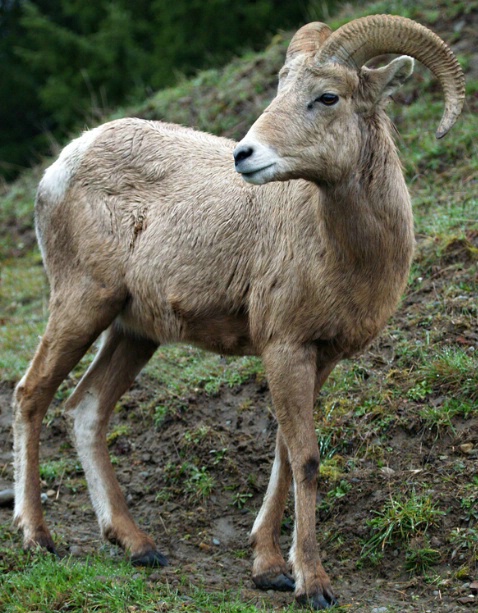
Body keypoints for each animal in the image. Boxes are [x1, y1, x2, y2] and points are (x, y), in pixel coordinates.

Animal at [14, 13, 464, 608]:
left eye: (327, 96)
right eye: (280, 89)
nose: (244, 156)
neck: (340, 250)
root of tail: (65, 163)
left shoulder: (319, 357)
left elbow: (283, 456)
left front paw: (269, 567)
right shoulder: (285, 348)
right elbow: (306, 458)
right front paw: (312, 583)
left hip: (134, 333)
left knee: (87, 410)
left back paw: (139, 546)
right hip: (82, 303)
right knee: (31, 395)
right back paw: (38, 538)